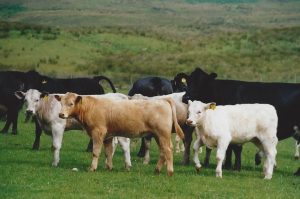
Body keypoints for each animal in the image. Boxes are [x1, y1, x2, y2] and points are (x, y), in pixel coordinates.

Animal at [54, 92, 184, 176]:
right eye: (61, 103)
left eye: (71, 103)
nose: (61, 114)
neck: (90, 107)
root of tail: (163, 100)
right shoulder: (107, 136)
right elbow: (108, 152)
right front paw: (109, 167)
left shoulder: (98, 132)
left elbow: (96, 152)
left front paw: (92, 168)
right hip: (158, 135)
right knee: (163, 151)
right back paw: (157, 170)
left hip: (162, 134)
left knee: (167, 150)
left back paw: (170, 171)